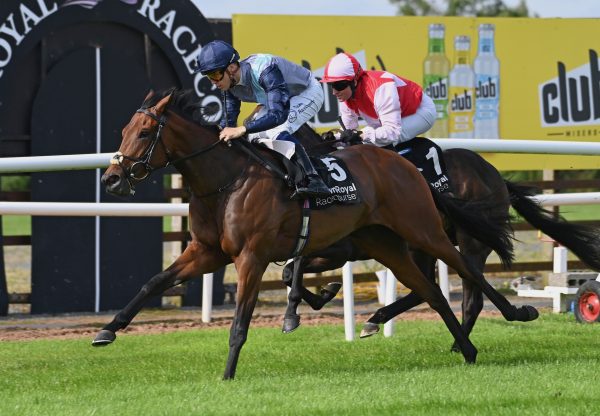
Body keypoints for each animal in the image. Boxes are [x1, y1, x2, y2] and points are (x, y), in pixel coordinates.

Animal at [96, 89, 536, 378]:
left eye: (144, 132)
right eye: (123, 129)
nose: (112, 178)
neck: (226, 181)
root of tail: (405, 167)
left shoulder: (253, 256)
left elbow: (242, 319)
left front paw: (228, 373)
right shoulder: (206, 252)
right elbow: (154, 282)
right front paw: (107, 330)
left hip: (426, 231)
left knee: (466, 274)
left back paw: (516, 313)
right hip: (387, 244)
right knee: (431, 290)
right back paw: (464, 348)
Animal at [284, 127, 600, 344]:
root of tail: (495, 174)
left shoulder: (341, 250)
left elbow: (294, 267)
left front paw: (307, 304)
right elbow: (290, 271)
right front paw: (322, 294)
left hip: (465, 242)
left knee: (470, 291)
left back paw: (467, 338)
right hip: (420, 246)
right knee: (426, 287)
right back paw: (380, 321)